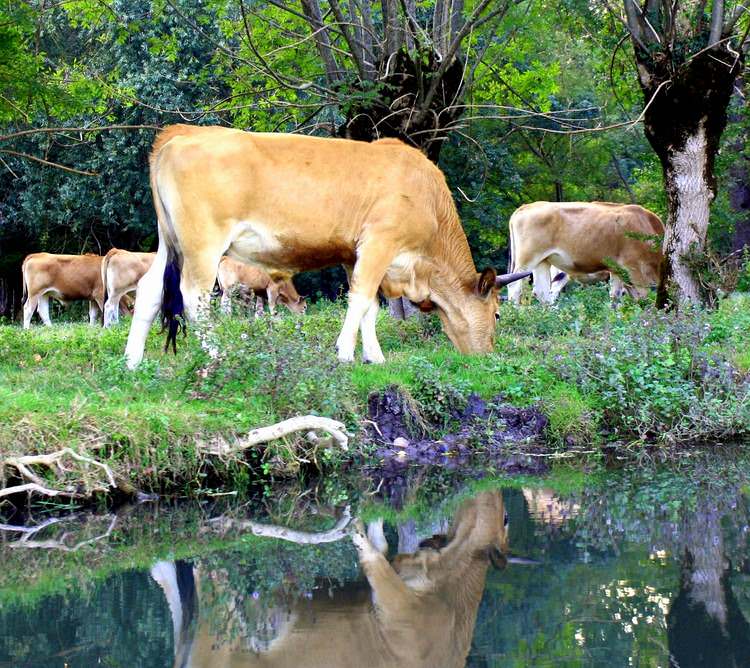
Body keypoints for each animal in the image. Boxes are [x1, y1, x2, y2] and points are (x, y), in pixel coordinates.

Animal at [125, 124, 528, 366]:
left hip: (170, 242)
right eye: (496, 314)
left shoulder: (354, 252)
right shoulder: (381, 242)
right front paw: (345, 353)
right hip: (203, 244)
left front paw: (375, 358)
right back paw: (216, 354)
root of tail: (182, 132)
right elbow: (362, 299)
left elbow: (369, 307)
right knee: (193, 297)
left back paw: (133, 361)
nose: (487, 355)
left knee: (149, 291)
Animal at [506, 201, 664, 306]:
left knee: (541, 292)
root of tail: (527, 207)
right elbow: (643, 297)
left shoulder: (617, 270)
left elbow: (616, 297)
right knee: (515, 287)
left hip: (543, 261)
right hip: (527, 260)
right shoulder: (635, 269)